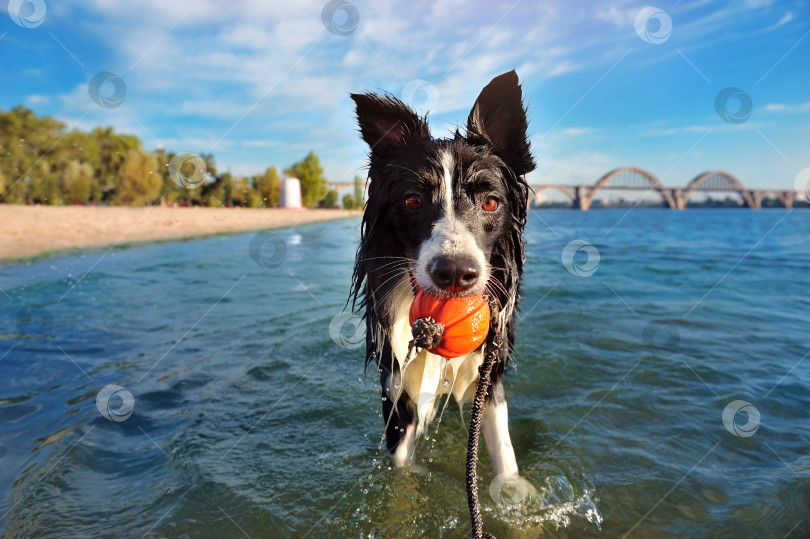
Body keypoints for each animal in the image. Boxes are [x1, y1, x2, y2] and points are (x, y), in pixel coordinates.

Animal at [346, 69, 532, 478]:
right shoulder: (396, 382)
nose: (455, 273)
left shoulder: (489, 371)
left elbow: (504, 453)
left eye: (490, 202)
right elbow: (400, 467)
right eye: (413, 200)